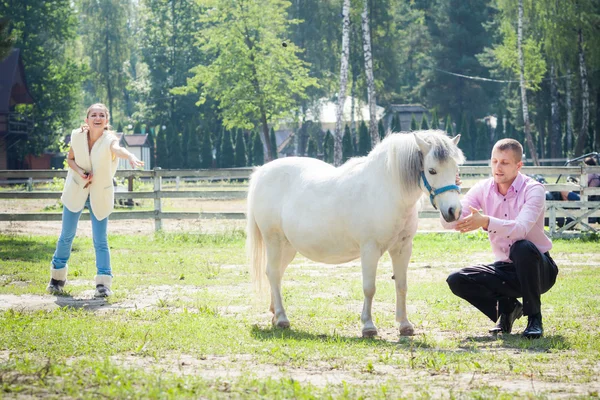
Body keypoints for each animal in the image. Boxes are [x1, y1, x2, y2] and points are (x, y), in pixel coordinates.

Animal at [246, 130, 466, 336]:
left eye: (457, 170)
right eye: (432, 170)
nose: (453, 211)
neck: (387, 192)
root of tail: (262, 172)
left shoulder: (402, 248)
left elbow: (401, 286)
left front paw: (405, 325)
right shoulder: (370, 249)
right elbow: (369, 288)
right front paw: (368, 327)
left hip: (288, 247)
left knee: (275, 273)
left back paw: (274, 314)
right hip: (274, 241)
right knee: (274, 273)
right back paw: (282, 318)